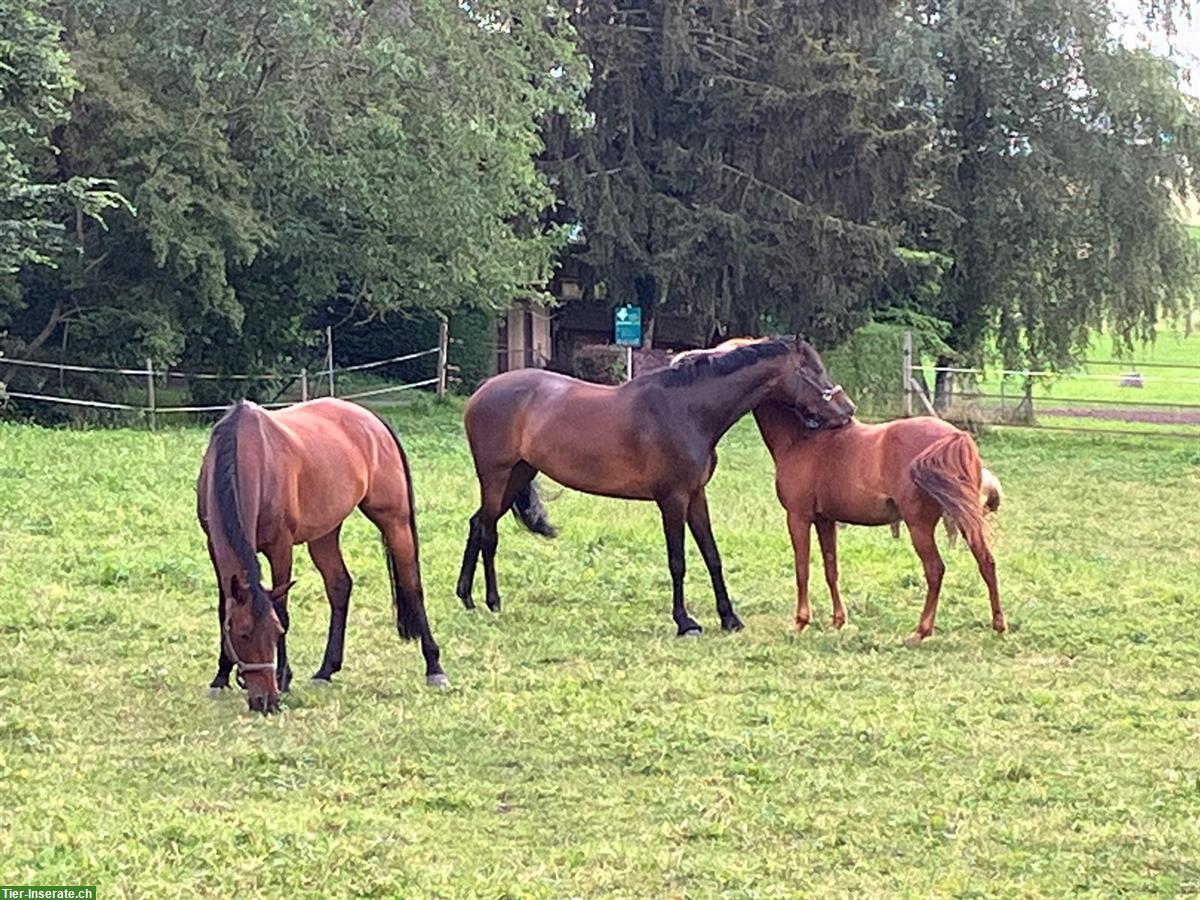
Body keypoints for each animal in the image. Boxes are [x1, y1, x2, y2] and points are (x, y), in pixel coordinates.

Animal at [196, 398, 446, 715]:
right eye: (242, 634)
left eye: (276, 633)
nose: (265, 702)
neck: (246, 452)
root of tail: (373, 420)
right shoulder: (214, 547)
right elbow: (223, 609)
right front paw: (220, 677)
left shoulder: (281, 547)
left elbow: (282, 609)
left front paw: (284, 678)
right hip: (324, 534)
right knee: (340, 586)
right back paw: (326, 670)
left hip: (395, 520)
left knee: (412, 584)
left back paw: (434, 667)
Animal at [453, 338, 859, 643]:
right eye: (812, 370)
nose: (848, 410)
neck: (687, 410)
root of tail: (480, 393)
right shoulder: (672, 500)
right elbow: (677, 561)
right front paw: (685, 622)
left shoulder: (696, 496)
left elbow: (712, 556)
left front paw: (729, 618)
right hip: (496, 478)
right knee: (488, 532)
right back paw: (490, 600)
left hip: (517, 476)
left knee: (477, 524)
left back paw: (469, 598)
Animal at [753, 400, 1008, 643]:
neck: (802, 439)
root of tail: (955, 436)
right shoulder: (825, 521)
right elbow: (831, 569)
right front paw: (838, 621)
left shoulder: (798, 518)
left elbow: (802, 570)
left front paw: (800, 621)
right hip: (964, 518)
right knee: (986, 561)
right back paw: (999, 624)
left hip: (920, 527)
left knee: (935, 570)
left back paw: (921, 631)